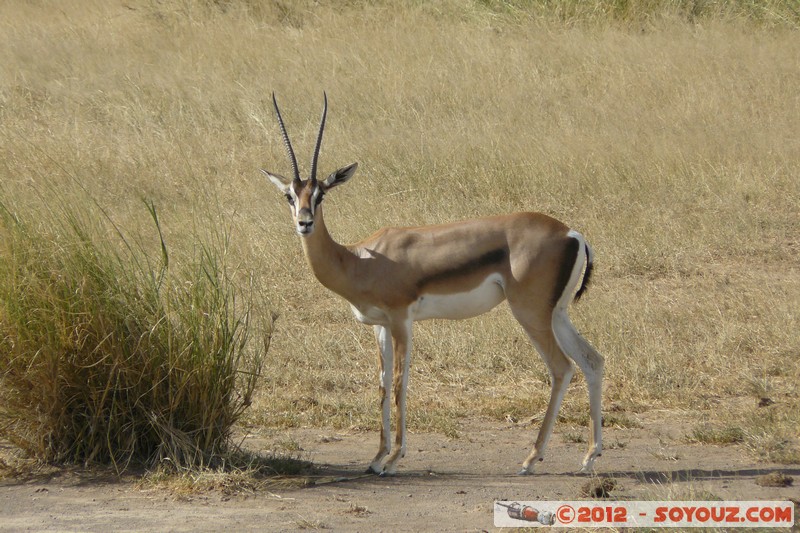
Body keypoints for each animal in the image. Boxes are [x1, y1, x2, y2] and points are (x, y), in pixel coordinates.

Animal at [262, 93, 604, 476]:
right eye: (290, 196)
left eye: (321, 194)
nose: (304, 223)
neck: (358, 259)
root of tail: (572, 234)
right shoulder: (380, 326)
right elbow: (382, 383)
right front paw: (376, 457)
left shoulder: (401, 320)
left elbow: (400, 381)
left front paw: (393, 459)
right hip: (556, 314)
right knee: (592, 361)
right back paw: (589, 457)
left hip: (530, 314)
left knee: (562, 367)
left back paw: (531, 459)